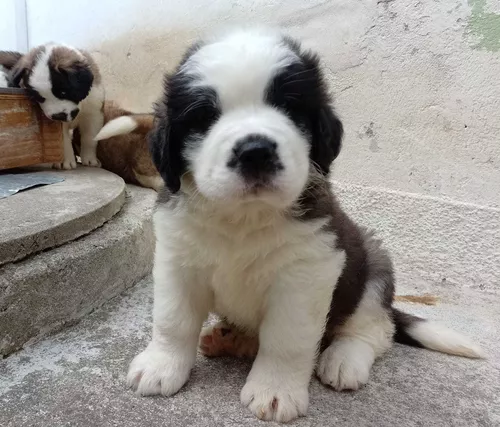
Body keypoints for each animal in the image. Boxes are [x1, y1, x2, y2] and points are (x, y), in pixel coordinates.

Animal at [127, 28, 482, 422]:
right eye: (204, 116)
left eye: (289, 106)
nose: (255, 151)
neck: (244, 218)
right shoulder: (178, 258)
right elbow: (172, 320)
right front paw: (160, 366)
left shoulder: (308, 270)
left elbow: (287, 338)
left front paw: (275, 391)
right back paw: (230, 338)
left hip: (373, 264)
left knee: (375, 328)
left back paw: (343, 359)